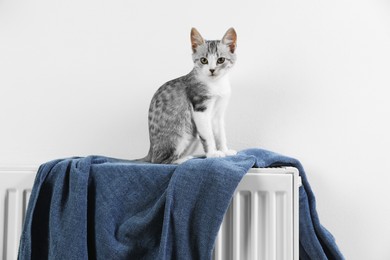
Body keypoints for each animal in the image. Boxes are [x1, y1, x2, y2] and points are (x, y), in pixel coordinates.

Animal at [142, 27, 236, 164]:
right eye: (203, 60)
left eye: (221, 60)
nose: (212, 70)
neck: (216, 84)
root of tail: (150, 151)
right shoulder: (200, 108)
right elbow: (208, 135)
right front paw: (212, 154)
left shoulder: (218, 113)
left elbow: (220, 133)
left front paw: (225, 150)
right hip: (181, 133)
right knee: (160, 161)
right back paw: (184, 159)